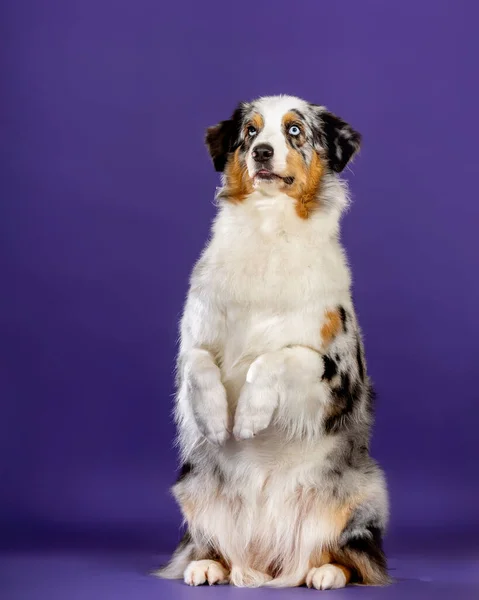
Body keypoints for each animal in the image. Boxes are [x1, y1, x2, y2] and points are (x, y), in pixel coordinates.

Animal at [158, 96, 390, 588]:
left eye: (295, 131)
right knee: (213, 543)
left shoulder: (337, 374)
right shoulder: (192, 340)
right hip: (193, 485)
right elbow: (199, 364)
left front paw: (248, 417)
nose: (262, 152)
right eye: (250, 131)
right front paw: (215, 419)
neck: (268, 229)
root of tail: (267, 559)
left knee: (351, 556)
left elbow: (277, 358)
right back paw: (208, 566)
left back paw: (325, 574)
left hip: (364, 491)